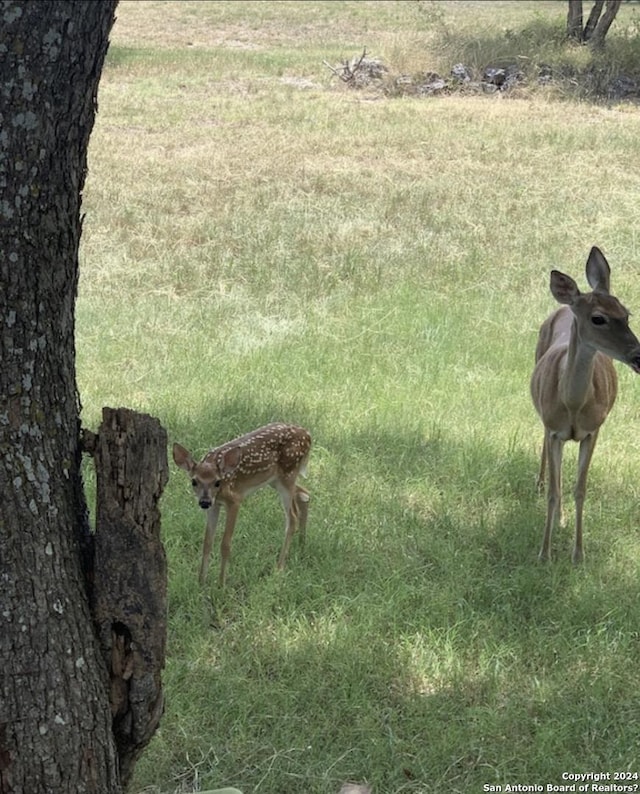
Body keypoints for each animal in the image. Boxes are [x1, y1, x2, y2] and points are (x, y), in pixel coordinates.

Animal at [170, 424, 310, 584]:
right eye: (194, 481)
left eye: (217, 482)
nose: (204, 502)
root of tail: (308, 435)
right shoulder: (214, 505)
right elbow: (207, 543)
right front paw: (201, 582)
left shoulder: (235, 500)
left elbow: (225, 544)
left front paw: (221, 584)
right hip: (276, 480)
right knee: (305, 493)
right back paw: (301, 547)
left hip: (288, 475)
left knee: (292, 517)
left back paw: (279, 567)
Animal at [528, 248, 640, 564]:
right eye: (598, 318)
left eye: (627, 314)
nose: (638, 355)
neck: (573, 405)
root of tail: (567, 306)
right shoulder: (555, 430)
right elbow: (555, 492)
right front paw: (544, 554)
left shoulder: (593, 431)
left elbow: (580, 489)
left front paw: (578, 554)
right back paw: (541, 488)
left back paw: (562, 519)